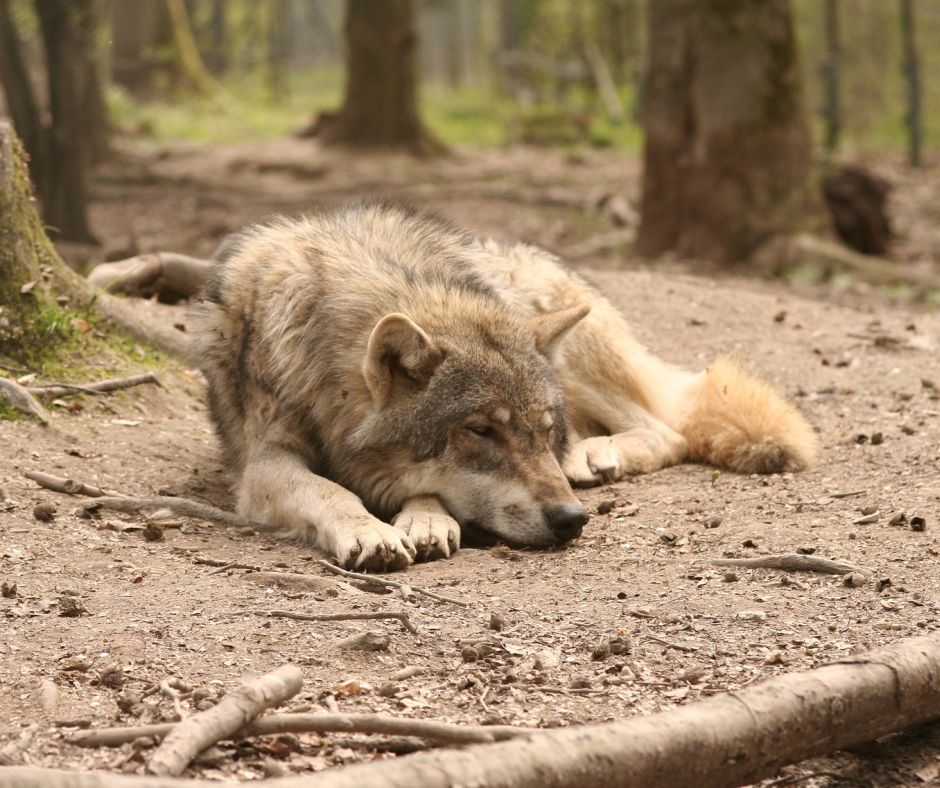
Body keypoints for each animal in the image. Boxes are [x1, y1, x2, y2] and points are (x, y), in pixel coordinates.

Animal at [191, 203, 816, 572]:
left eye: (543, 431)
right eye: (481, 431)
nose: (571, 519)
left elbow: (419, 487)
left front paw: (424, 518)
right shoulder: (264, 461)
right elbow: (328, 490)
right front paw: (375, 530)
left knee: (667, 430)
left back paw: (593, 455)